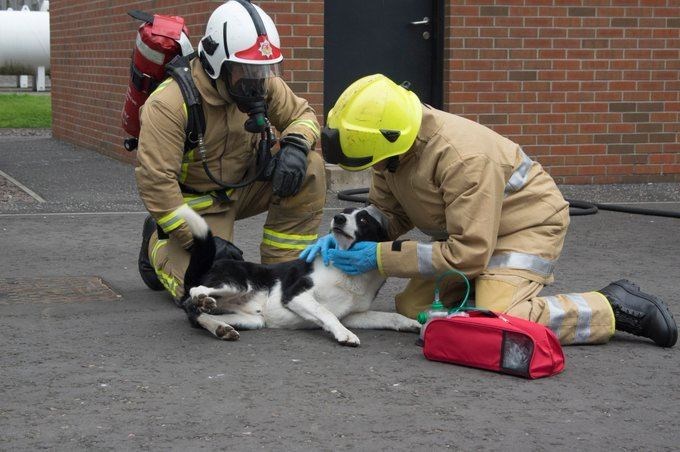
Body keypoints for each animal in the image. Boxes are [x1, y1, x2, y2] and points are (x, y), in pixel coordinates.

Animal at [175, 206, 420, 346]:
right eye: (347, 211)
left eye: (364, 220)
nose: (338, 218)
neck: (347, 270)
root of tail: (209, 266)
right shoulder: (295, 295)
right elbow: (325, 312)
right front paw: (344, 335)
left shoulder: (352, 315)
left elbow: (390, 317)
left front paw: (412, 323)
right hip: (237, 283)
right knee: (195, 295)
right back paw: (204, 302)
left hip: (253, 320)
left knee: (198, 315)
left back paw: (221, 328)